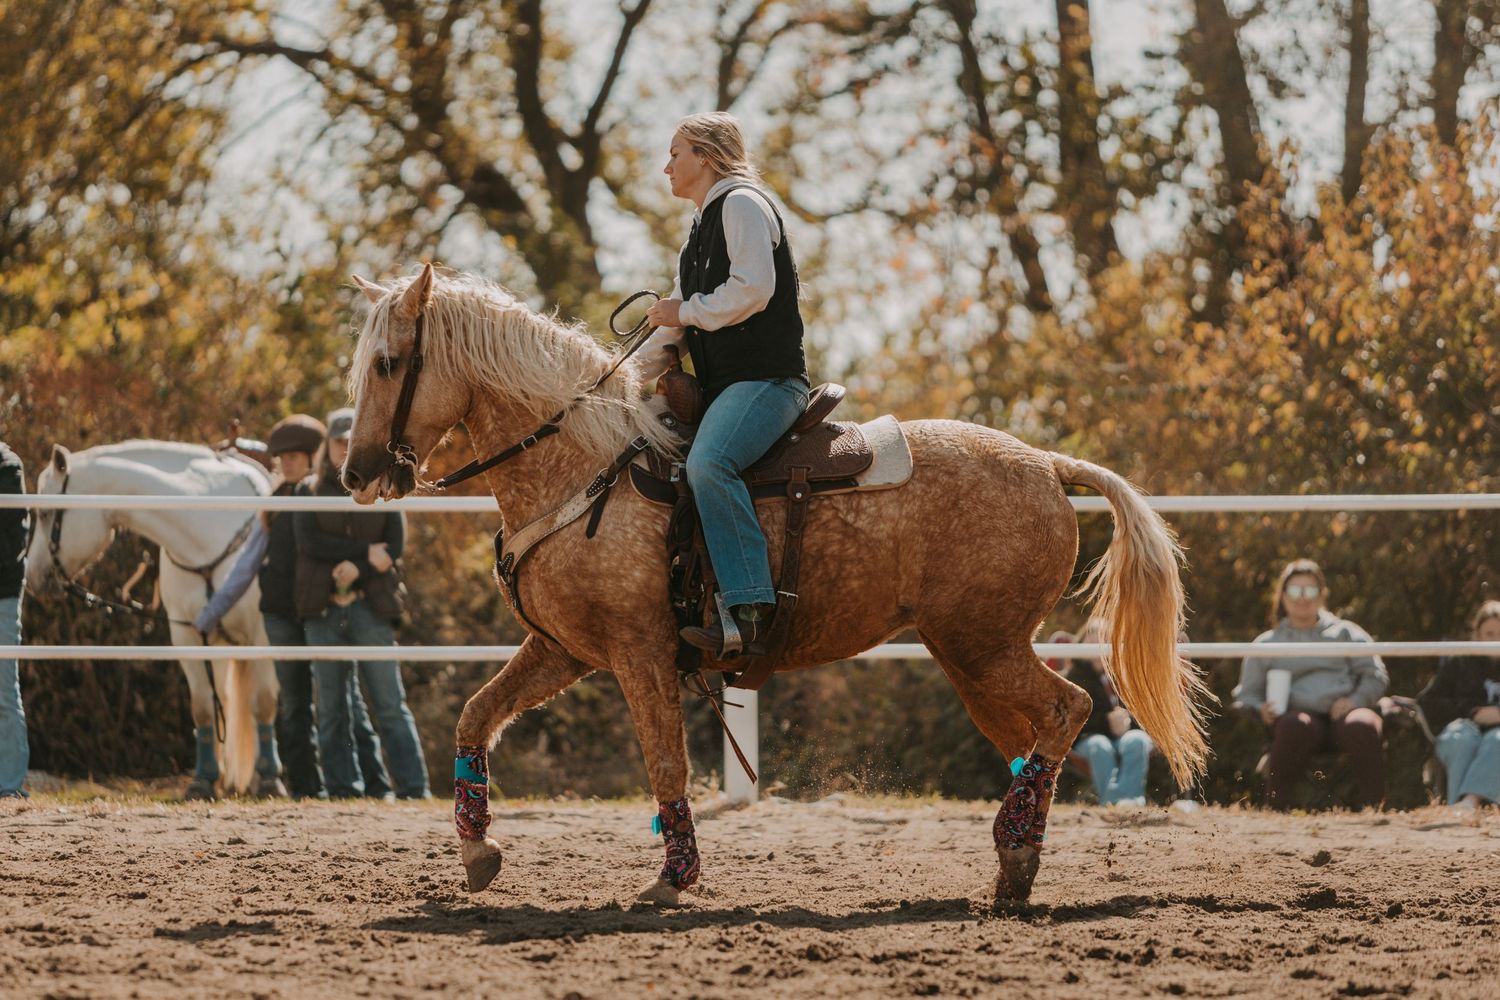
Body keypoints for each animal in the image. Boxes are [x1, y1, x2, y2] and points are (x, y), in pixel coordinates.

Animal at [24, 440, 284, 799]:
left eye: (46, 513)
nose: (32, 578)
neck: (207, 534)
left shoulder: (263, 635)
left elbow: (264, 702)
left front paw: (271, 779)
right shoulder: (190, 637)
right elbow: (204, 708)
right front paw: (203, 781)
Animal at [339, 264, 1210, 905]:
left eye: (388, 362)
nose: (356, 473)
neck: (586, 465)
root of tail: (1049, 465)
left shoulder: (638, 651)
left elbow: (665, 763)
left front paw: (674, 877)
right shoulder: (563, 649)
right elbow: (475, 717)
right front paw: (477, 849)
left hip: (984, 645)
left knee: (1068, 709)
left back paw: (1016, 852)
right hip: (972, 656)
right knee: (1035, 738)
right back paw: (1014, 866)